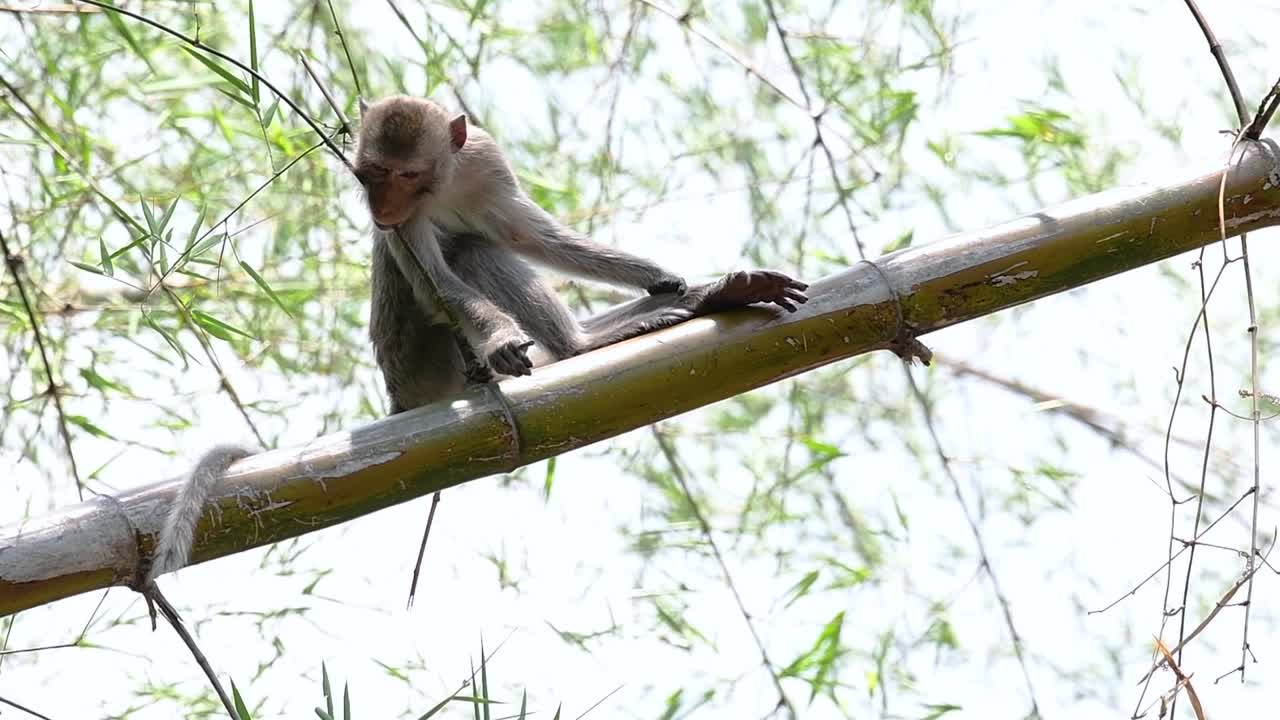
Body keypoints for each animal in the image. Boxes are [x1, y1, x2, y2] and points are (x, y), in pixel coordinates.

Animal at [354, 95, 810, 412]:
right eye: (373, 172)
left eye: (407, 174)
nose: (382, 207)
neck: (443, 184)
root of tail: (401, 396)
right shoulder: (404, 224)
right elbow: (436, 283)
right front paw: (501, 337)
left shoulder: (485, 160)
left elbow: (531, 236)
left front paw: (655, 274)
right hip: (426, 366)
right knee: (468, 254)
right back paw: (582, 347)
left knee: (476, 249)